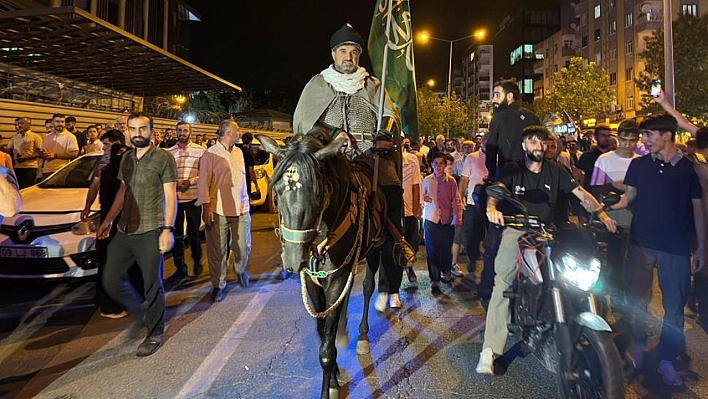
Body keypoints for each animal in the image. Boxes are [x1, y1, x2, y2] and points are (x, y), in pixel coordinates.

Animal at [258, 132, 384, 399]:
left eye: (317, 194)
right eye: (278, 191)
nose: (293, 260)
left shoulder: (336, 279)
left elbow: (326, 350)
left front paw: (330, 386)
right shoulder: (313, 281)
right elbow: (322, 329)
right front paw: (335, 376)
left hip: (376, 249)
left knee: (368, 286)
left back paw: (362, 334)